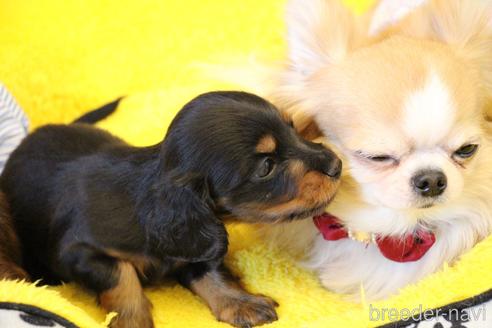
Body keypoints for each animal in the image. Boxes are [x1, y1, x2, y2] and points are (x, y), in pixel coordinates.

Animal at [0, 91, 340, 328]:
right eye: (267, 166)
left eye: (293, 128)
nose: (337, 165)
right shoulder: (78, 251)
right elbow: (121, 275)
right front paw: (132, 320)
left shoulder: (195, 244)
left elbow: (210, 273)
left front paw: (240, 303)